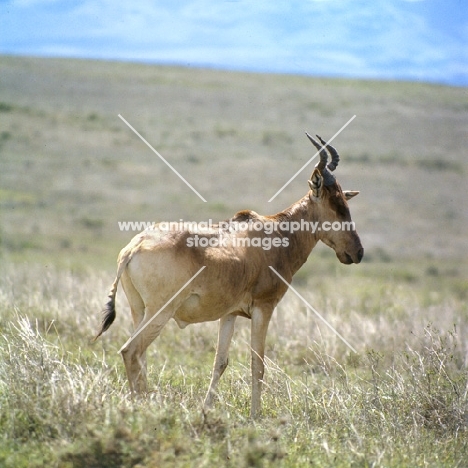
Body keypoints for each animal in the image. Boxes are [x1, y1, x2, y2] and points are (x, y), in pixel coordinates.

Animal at [95, 133, 364, 418]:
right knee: (131, 351)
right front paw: (255, 416)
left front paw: (206, 410)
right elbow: (257, 364)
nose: (358, 252)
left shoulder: (230, 314)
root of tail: (134, 246)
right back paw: (143, 407)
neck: (277, 232)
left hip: (139, 310)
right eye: (336, 208)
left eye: (345, 203)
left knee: (140, 355)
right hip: (161, 310)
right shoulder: (263, 307)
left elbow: (220, 362)